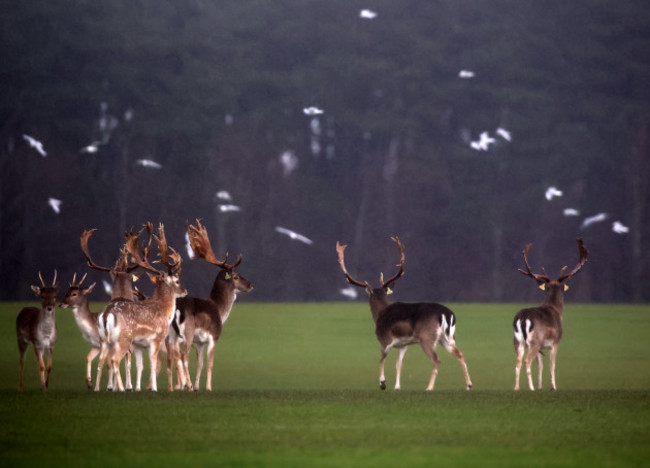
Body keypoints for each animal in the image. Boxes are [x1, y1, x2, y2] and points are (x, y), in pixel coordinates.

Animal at [96, 223, 187, 392]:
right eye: (177, 281)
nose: (185, 291)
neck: (164, 311)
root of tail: (106, 314)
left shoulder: (138, 344)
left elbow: (140, 365)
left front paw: (138, 388)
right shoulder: (156, 339)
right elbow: (152, 364)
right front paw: (154, 388)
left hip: (103, 340)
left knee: (101, 361)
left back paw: (98, 388)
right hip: (123, 338)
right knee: (114, 360)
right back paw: (121, 389)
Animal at [166, 219, 253, 391]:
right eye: (235, 276)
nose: (250, 285)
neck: (219, 310)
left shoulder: (200, 342)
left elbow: (200, 363)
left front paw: (198, 386)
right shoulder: (214, 336)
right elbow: (210, 363)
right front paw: (208, 387)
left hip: (172, 334)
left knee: (174, 355)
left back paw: (176, 387)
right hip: (188, 331)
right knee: (183, 355)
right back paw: (186, 384)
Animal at [336, 237, 472, 391]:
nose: (386, 384)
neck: (379, 314)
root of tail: (447, 314)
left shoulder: (384, 339)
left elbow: (381, 358)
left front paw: (383, 383)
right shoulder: (403, 344)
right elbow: (399, 364)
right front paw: (397, 387)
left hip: (426, 337)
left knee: (436, 360)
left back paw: (429, 388)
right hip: (448, 337)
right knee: (460, 354)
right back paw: (469, 385)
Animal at [513, 238, 588, 391]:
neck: (556, 311)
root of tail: (523, 318)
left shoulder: (541, 347)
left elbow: (540, 366)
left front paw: (541, 386)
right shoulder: (555, 342)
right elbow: (551, 365)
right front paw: (553, 386)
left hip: (518, 341)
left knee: (517, 363)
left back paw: (517, 388)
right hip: (534, 341)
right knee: (527, 361)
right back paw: (531, 387)